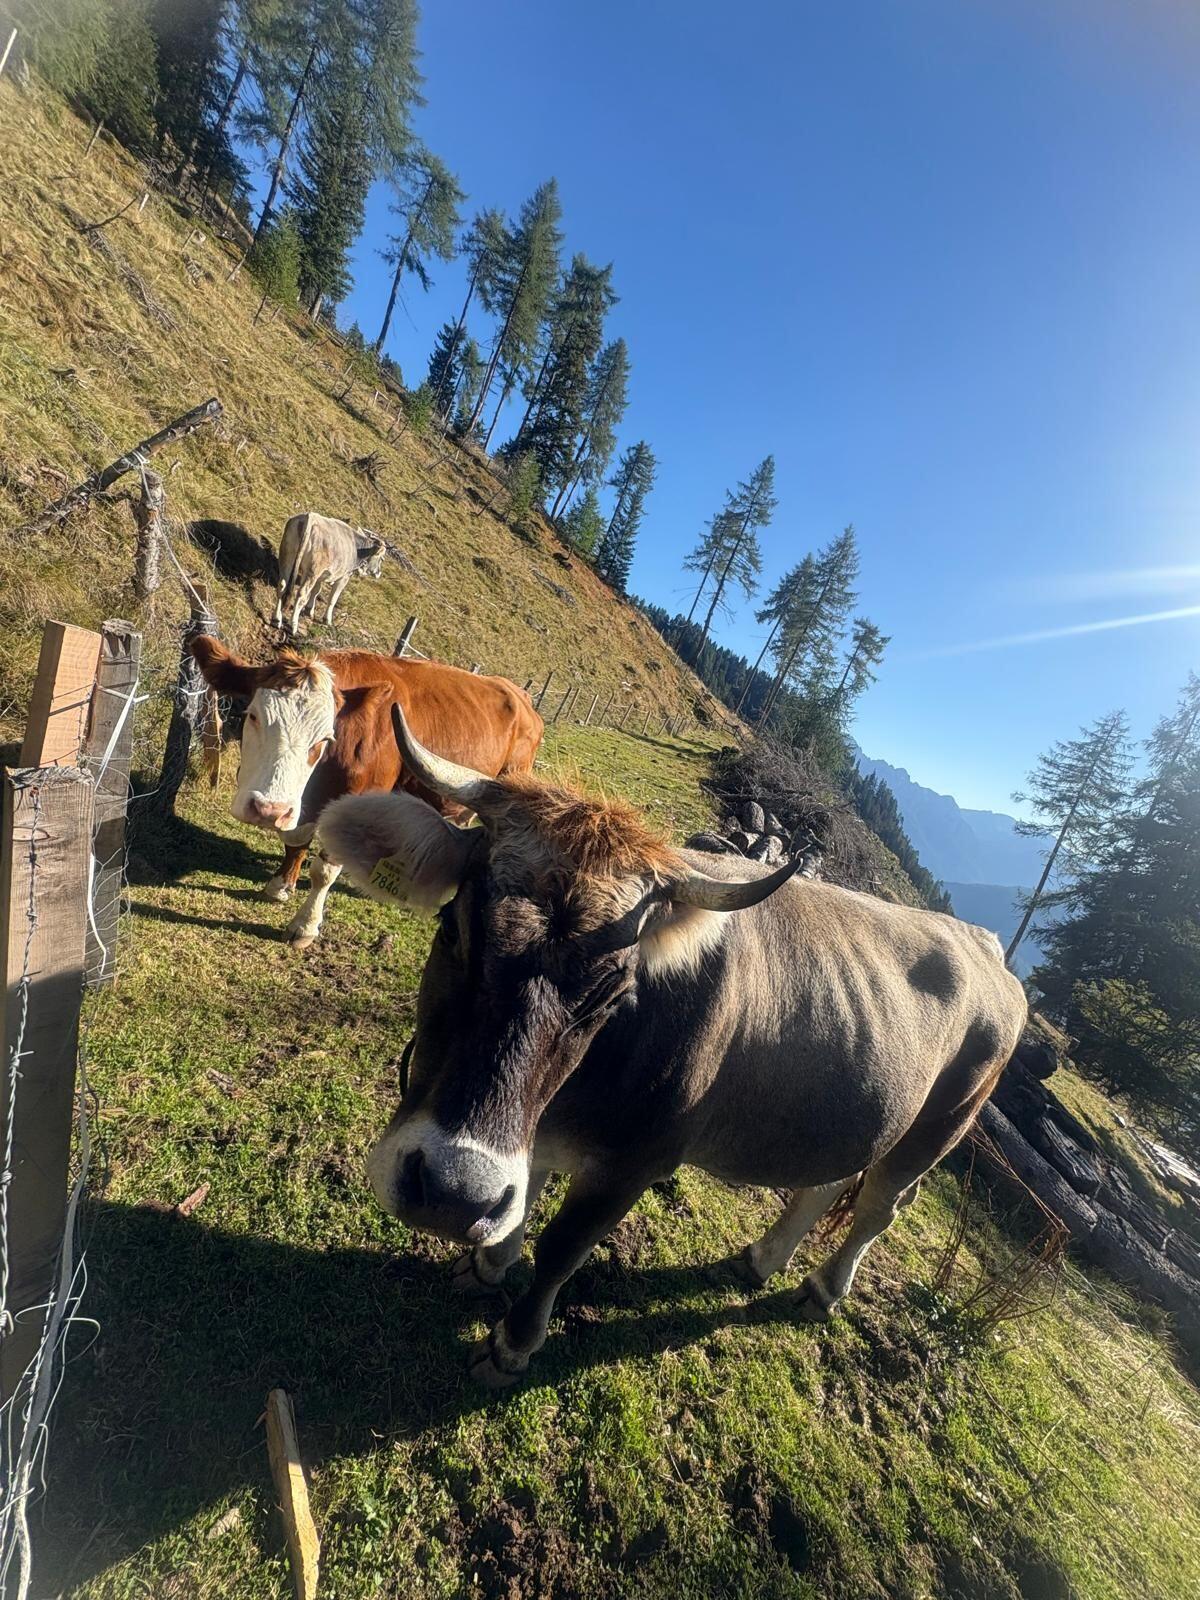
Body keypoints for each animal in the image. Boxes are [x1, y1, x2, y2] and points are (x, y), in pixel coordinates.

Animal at [188, 637, 544, 949]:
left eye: (324, 738)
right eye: (253, 716)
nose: (268, 810)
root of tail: (523, 698)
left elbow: (325, 870)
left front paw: (305, 926)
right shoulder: (302, 805)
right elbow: (295, 840)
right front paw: (281, 884)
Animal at [318, 708, 1028, 1387]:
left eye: (611, 994)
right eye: (452, 928)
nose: (453, 1194)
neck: (569, 1097)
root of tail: (985, 945)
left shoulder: (635, 1165)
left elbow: (562, 1249)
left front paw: (511, 1345)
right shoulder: (534, 1133)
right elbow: (527, 1189)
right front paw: (489, 1262)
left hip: (940, 1127)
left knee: (881, 1205)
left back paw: (825, 1289)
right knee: (828, 1180)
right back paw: (761, 1259)